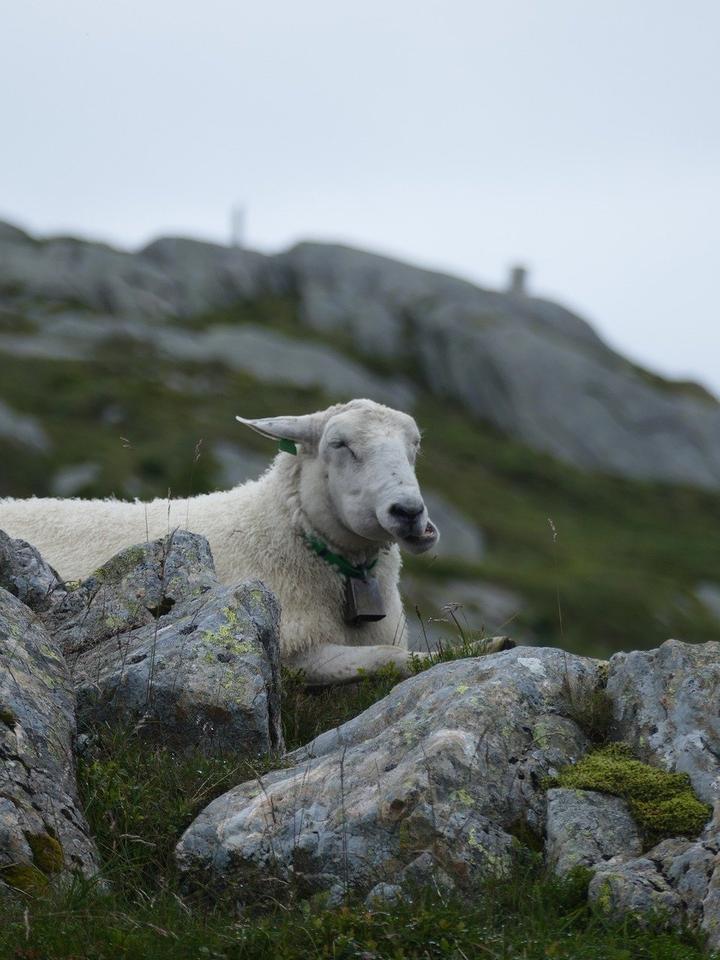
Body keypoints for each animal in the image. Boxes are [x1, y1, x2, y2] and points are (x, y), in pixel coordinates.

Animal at [0, 398, 506, 684]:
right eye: (339, 444)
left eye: (414, 444)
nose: (410, 514)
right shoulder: (293, 653)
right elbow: (387, 658)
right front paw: (481, 647)